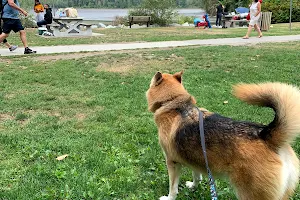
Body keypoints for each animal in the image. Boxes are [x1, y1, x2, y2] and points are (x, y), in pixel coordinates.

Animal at [146, 71, 300, 199]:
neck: (174, 104)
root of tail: (267, 136)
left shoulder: (172, 162)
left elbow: (173, 188)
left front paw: (169, 198)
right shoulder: (194, 158)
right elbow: (197, 176)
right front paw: (193, 186)